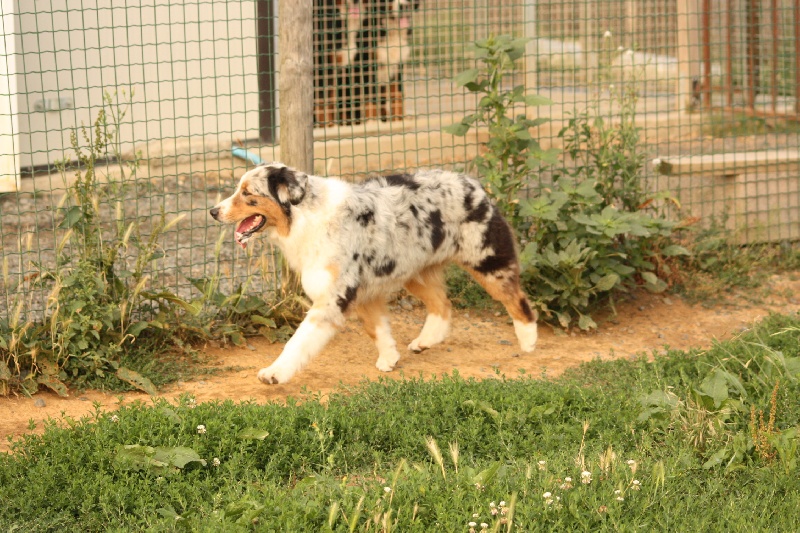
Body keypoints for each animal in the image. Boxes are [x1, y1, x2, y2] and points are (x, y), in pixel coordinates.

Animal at [209, 162, 540, 382]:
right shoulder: (364, 291)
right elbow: (377, 329)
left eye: (248, 193)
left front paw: (275, 373)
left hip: (488, 261)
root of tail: (473, 183)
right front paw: (389, 358)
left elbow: (298, 341)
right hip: (415, 271)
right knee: (443, 306)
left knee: (520, 302)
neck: (306, 215)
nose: (212, 212)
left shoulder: (333, 298)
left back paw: (528, 344)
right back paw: (424, 342)